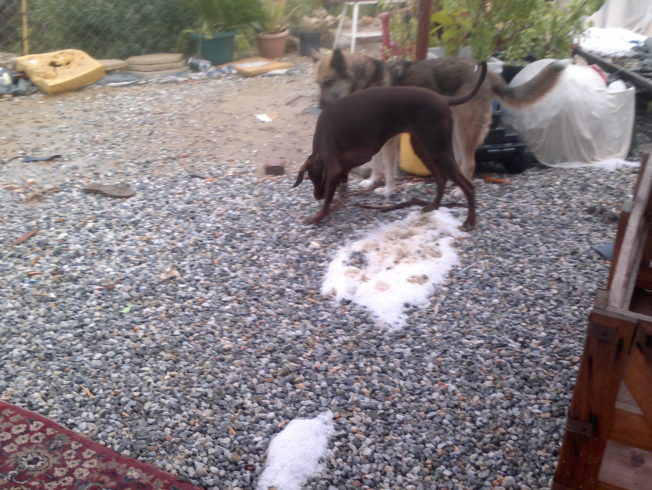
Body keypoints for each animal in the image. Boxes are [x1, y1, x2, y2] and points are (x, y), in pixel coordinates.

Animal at [292, 62, 486, 230]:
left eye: (314, 178)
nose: (316, 196)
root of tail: (443, 99)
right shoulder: (345, 165)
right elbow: (343, 184)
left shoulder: (334, 166)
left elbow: (329, 198)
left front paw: (318, 216)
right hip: (422, 148)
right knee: (441, 179)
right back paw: (434, 206)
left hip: (439, 152)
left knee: (468, 187)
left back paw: (470, 221)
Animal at [314, 50, 564, 193]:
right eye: (318, 83)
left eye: (328, 81)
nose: (320, 107)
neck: (363, 79)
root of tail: (491, 75)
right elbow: (376, 164)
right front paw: (371, 182)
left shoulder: (389, 140)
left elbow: (388, 168)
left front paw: (387, 191)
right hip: (453, 133)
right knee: (461, 162)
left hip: (464, 130)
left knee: (470, 163)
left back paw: (459, 191)